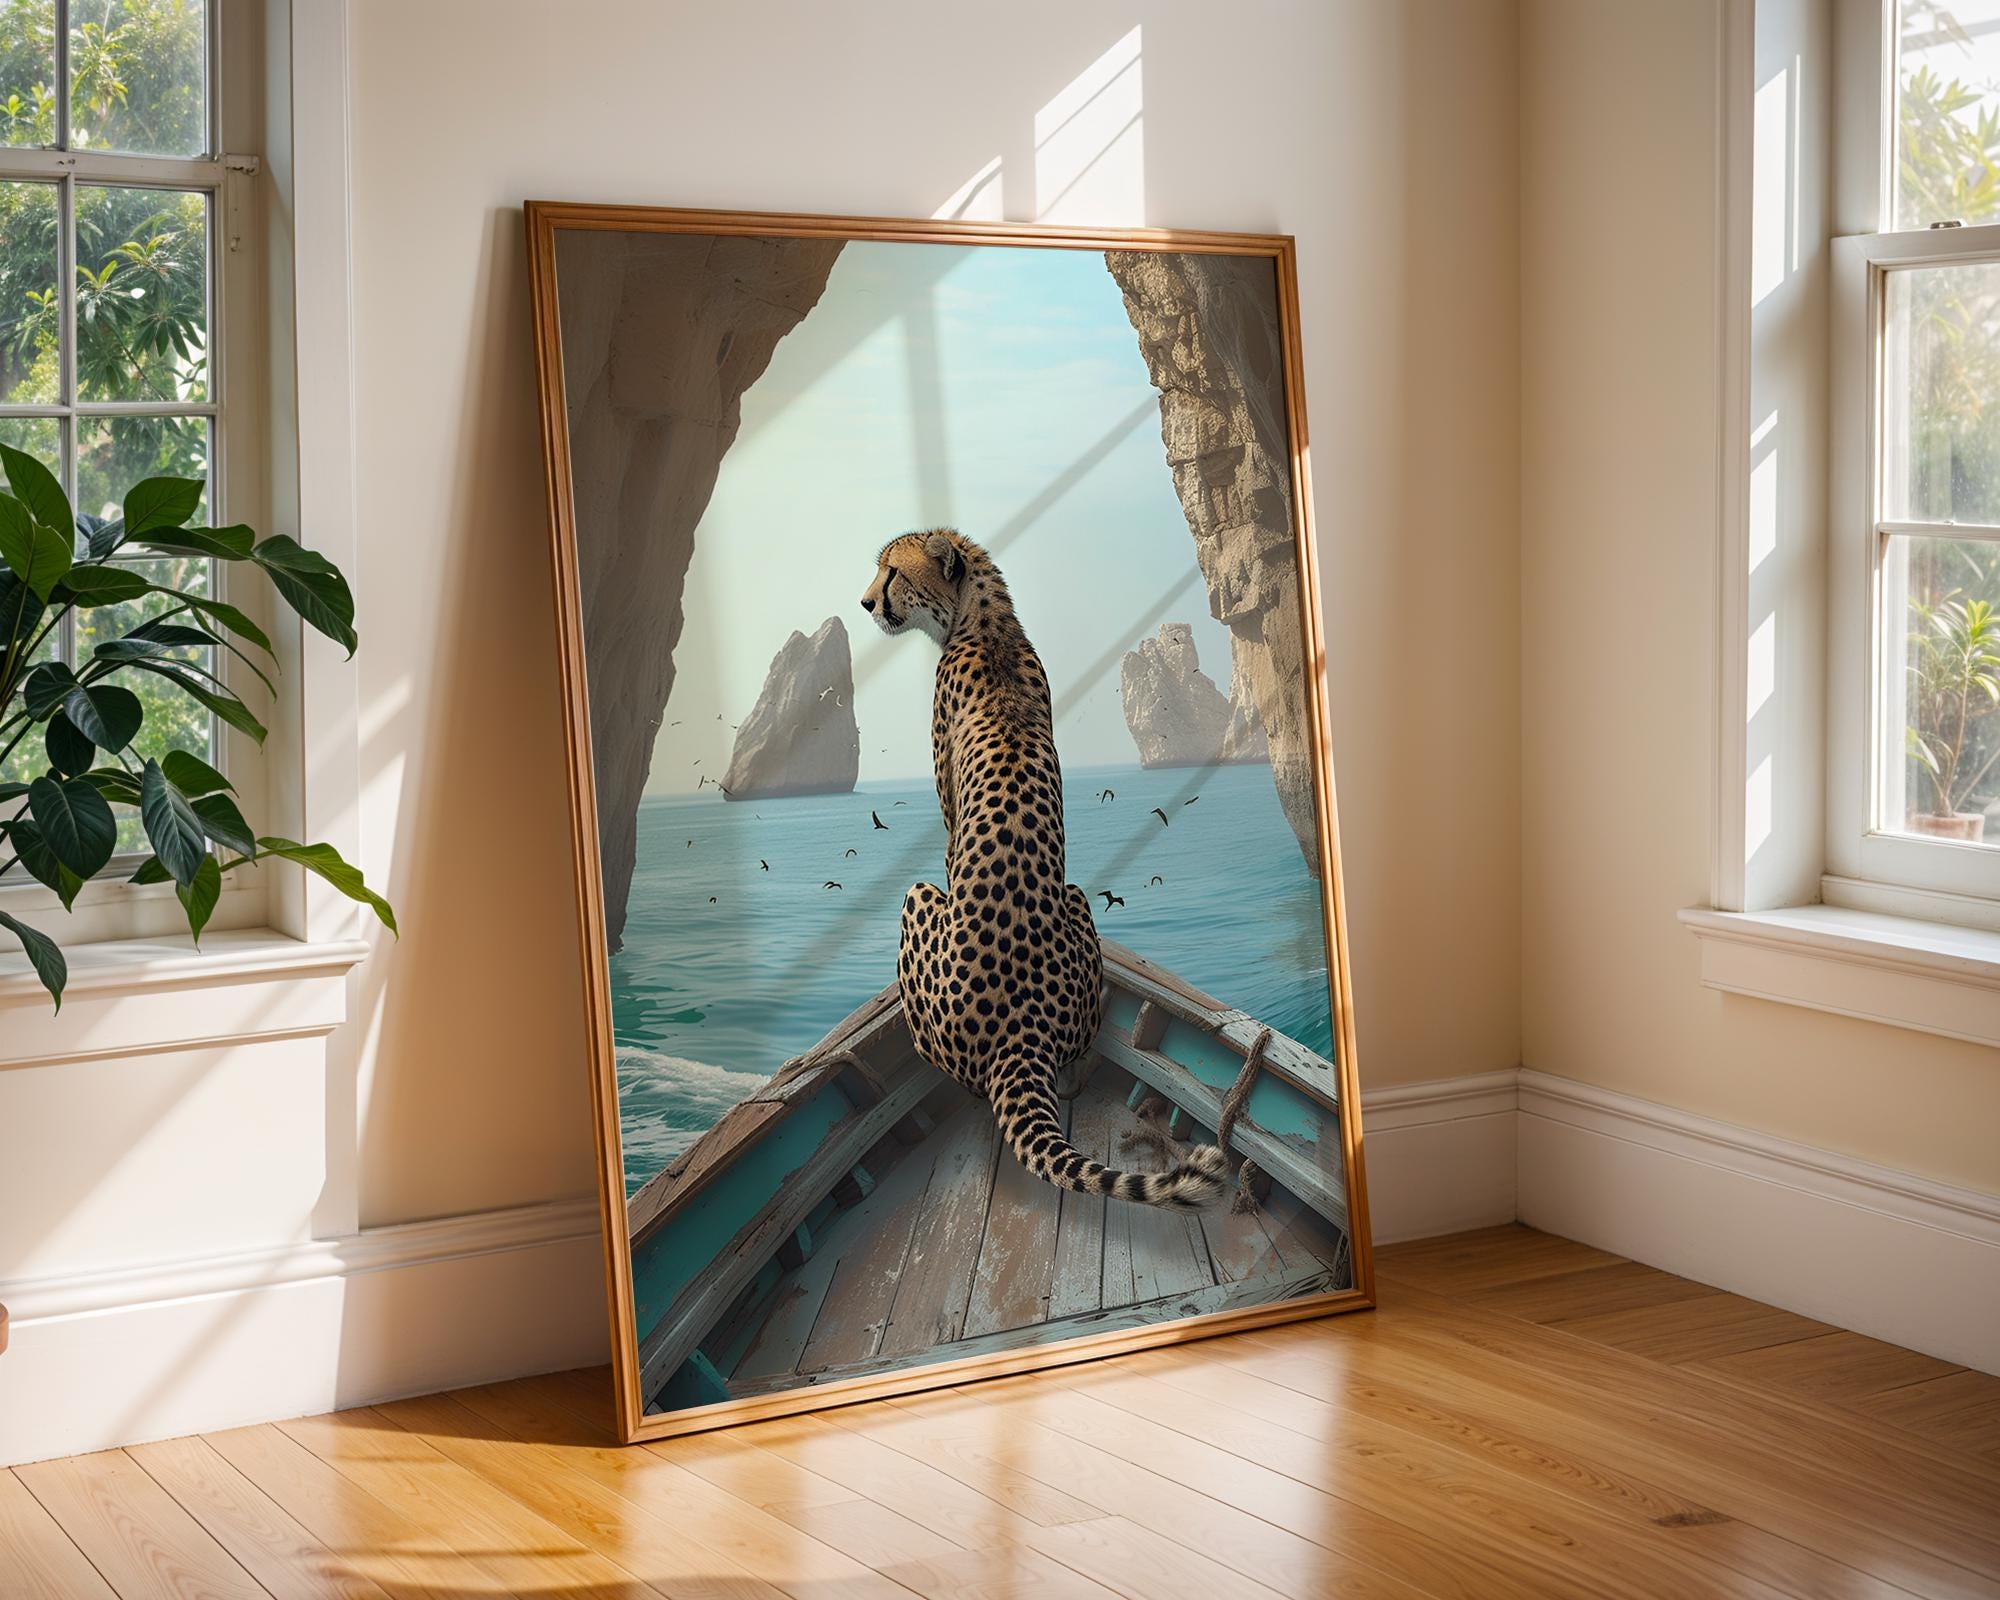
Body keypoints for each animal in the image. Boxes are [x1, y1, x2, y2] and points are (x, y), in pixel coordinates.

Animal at [860, 528, 1226, 1210]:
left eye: (892, 571)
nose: (866, 603)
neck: (985, 623)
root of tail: (1020, 1028)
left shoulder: (948, 823)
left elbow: (946, 846)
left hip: (921, 901)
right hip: (1076, 896)